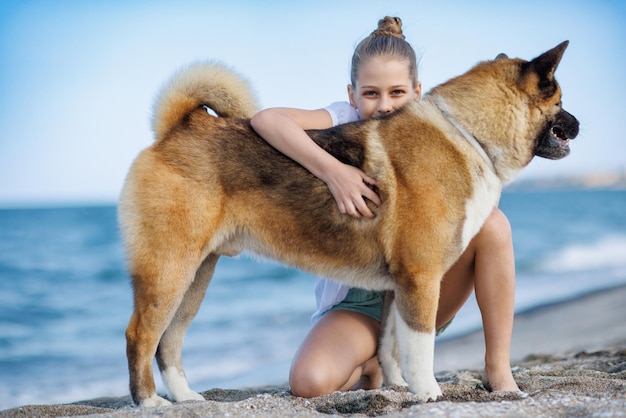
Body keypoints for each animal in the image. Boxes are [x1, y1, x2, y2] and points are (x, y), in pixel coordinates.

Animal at [117, 41, 576, 404]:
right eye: (559, 100)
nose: (577, 123)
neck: (468, 134)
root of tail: (180, 127)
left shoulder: (399, 286)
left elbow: (392, 346)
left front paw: (396, 387)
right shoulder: (421, 278)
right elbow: (420, 345)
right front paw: (428, 391)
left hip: (196, 276)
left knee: (169, 341)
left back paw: (185, 397)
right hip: (169, 271)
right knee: (141, 336)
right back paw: (150, 402)